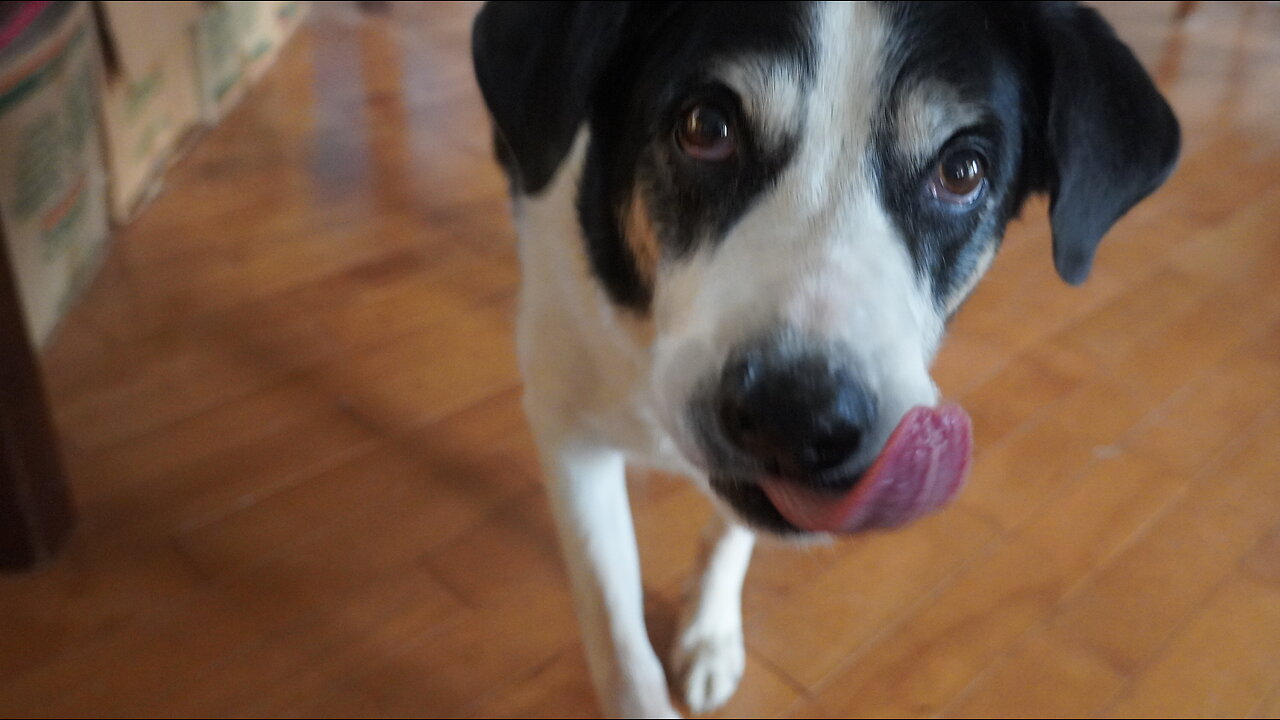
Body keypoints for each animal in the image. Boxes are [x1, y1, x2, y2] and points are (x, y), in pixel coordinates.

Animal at [473, 4, 1177, 712]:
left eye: (962, 173)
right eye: (705, 127)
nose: (795, 417)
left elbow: (733, 528)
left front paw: (709, 631)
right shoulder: (567, 430)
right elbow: (614, 620)